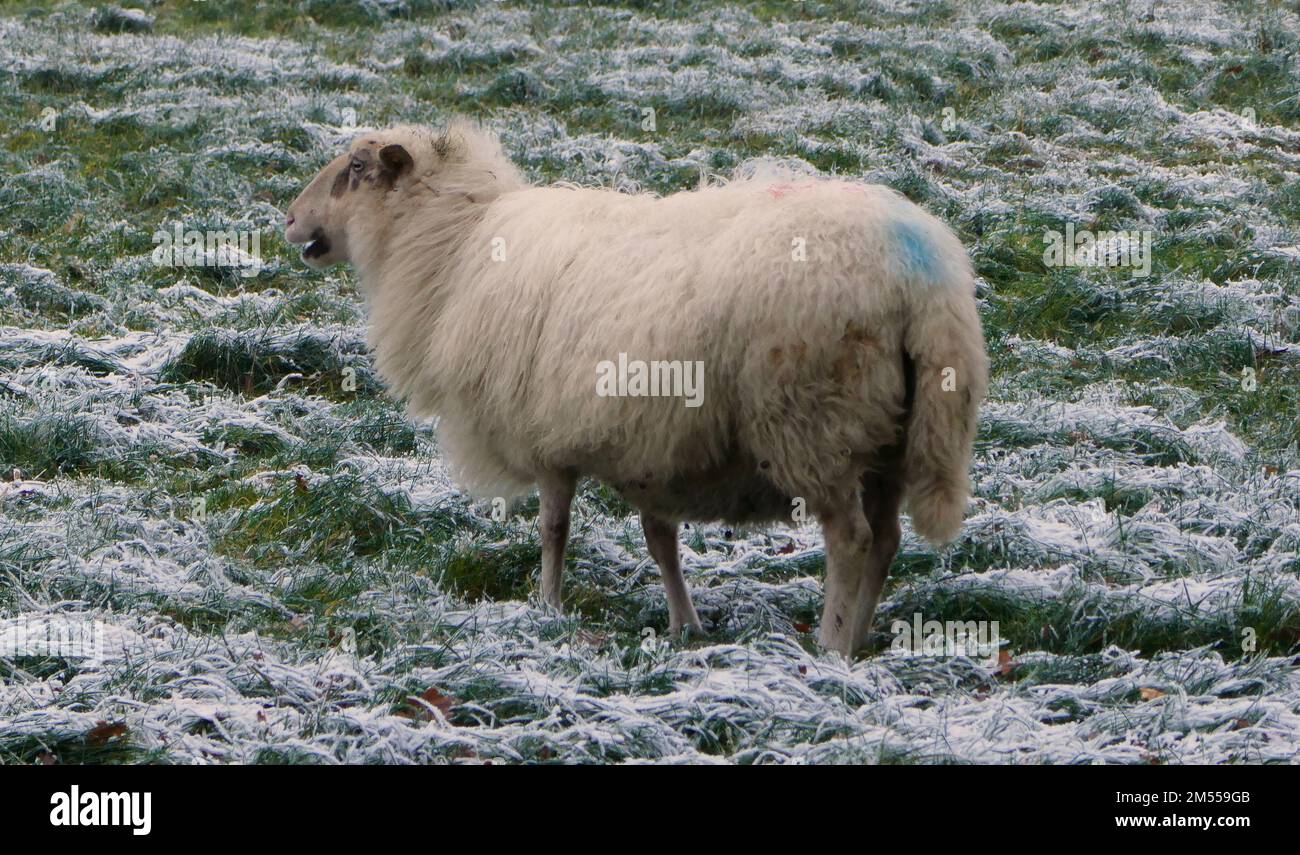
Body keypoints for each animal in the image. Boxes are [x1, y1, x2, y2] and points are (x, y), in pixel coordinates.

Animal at [284, 118, 982, 652]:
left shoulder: (546, 436)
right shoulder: (652, 442)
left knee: (852, 540)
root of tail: (921, 279)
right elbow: (659, 541)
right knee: (886, 538)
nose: (289, 219)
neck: (455, 249)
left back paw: (832, 646)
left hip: (814, 421)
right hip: (893, 433)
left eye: (354, 168)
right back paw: (859, 636)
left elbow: (555, 529)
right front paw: (684, 625)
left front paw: (548, 609)